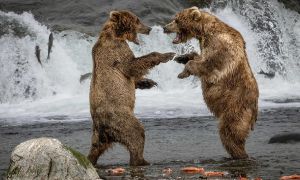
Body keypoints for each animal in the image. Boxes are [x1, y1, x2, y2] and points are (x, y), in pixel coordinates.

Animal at [86, 10, 175, 166]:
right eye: (137, 20)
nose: (149, 28)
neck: (116, 34)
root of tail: (102, 127)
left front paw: (148, 82)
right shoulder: (116, 52)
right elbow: (131, 65)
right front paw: (167, 54)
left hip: (97, 135)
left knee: (95, 149)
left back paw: (91, 159)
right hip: (119, 118)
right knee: (137, 133)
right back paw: (142, 160)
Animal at [163, 7, 258, 159]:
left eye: (176, 20)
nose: (165, 27)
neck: (204, 32)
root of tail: (254, 110)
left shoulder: (220, 48)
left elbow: (207, 64)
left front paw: (182, 73)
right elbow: (198, 56)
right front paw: (181, 57)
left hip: (235, 108)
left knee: (230, 133)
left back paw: (238, 153)